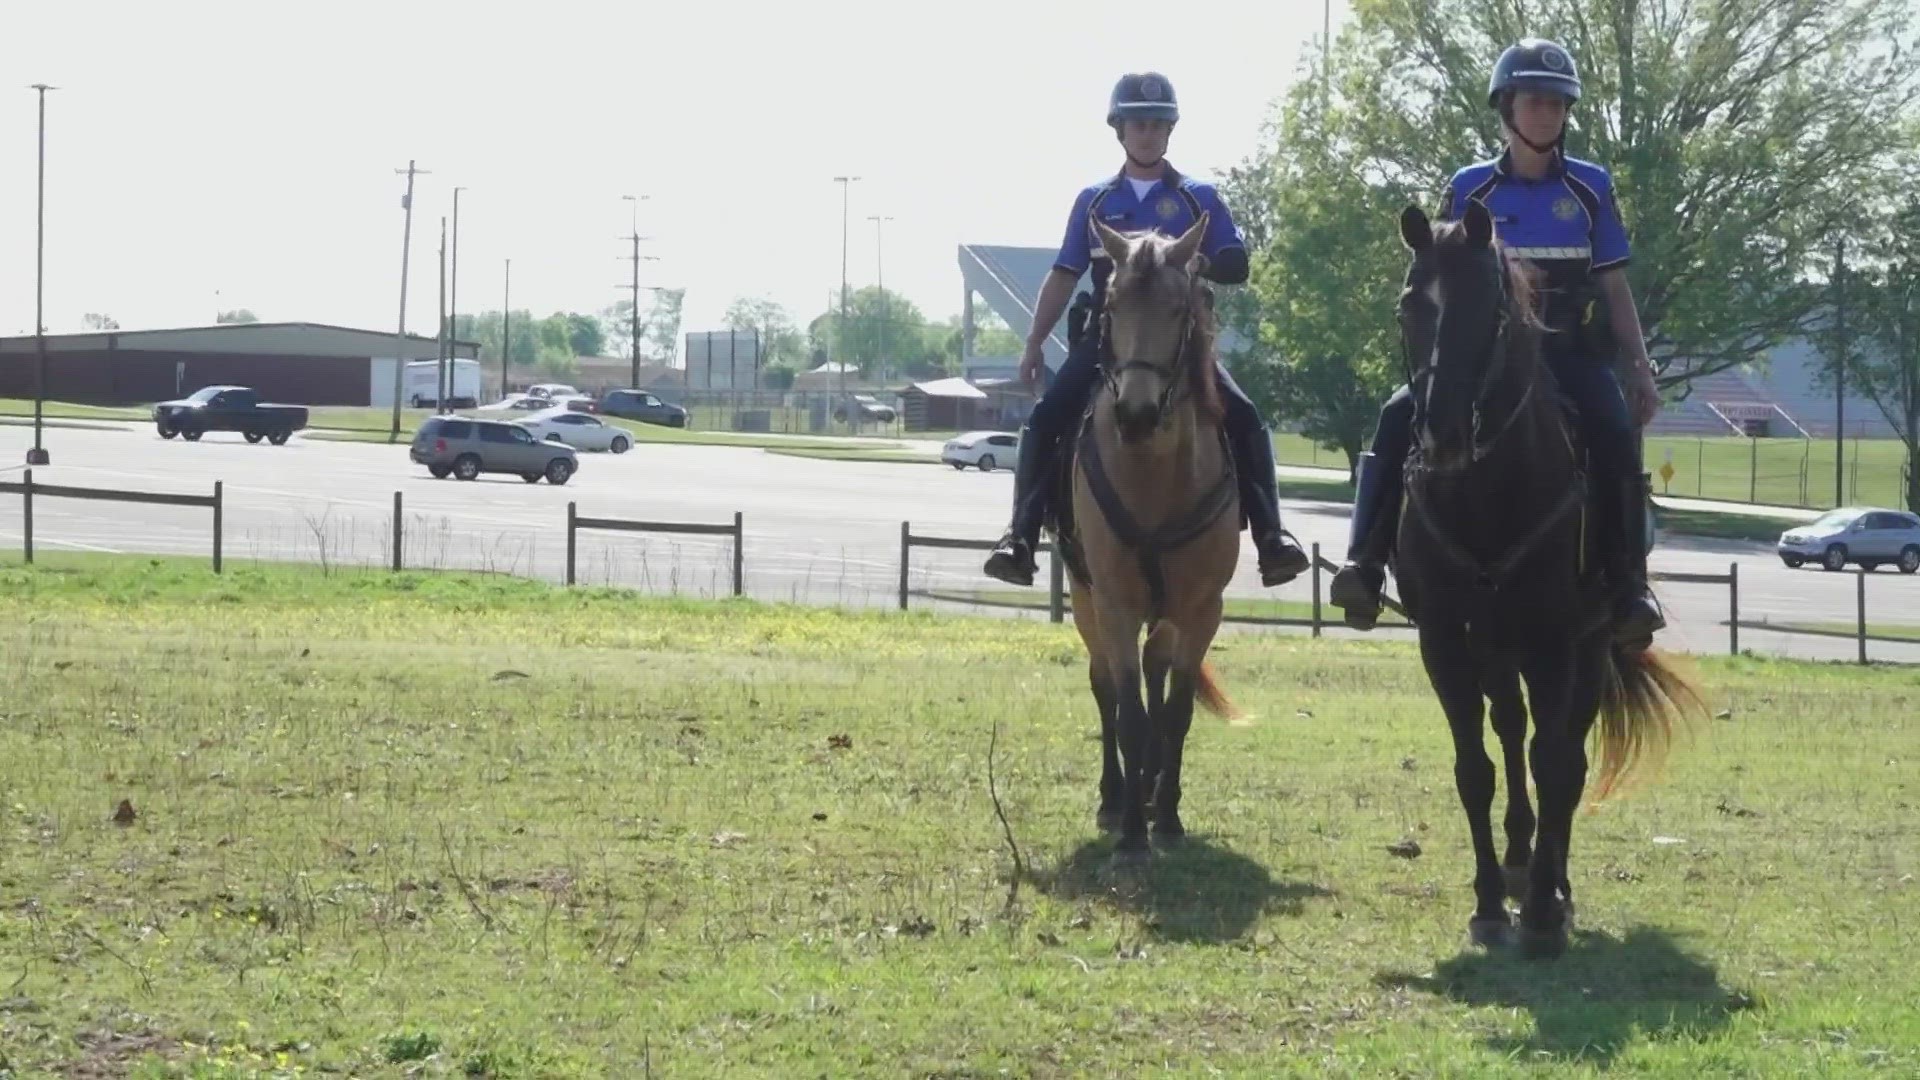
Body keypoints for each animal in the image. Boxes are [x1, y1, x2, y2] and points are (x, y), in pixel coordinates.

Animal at [1052, 212, 1244, 864]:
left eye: (1180, 308)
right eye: (1110, 305)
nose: (1135, 414)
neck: (1156, 477)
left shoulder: (1202, 608)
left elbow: (1176, 710)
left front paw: (1169, 816)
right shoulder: (1113, 604)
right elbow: (1129, 712)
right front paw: (1134, 829)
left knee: (1154, 678)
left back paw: (1156, 788)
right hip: (1086, 600)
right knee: (1107, 688)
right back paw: (1116, 798)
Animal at [1397, 197, 1712, 953]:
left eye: (1490, 309)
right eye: (1408, 306)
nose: (1443, 436)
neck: (1486, 492)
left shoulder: (1555, 642)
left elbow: (1557, 763)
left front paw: (1545, 906)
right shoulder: (1445, 640)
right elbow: (1476, 769)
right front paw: (1488, 901)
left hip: (1585, 648)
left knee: (1562, 753)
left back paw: (1550, 882)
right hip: (1496, 648)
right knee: (1512, 733)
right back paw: (1516, 860)